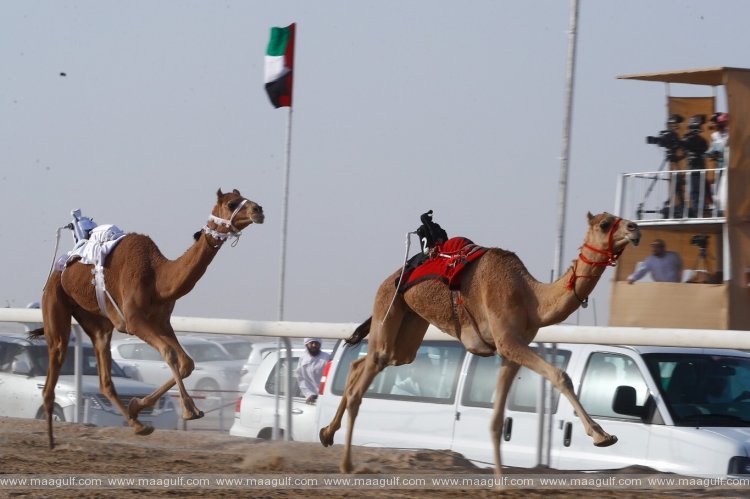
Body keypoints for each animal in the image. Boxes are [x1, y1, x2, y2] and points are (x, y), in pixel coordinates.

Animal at [29, 188, 264, 449]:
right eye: (232, 203)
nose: (258, 210)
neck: (158, 277)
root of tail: (61, 266)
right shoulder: (134, 321)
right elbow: (170, 354)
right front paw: (189, 410)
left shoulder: (161, 321)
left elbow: (187, 363)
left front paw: (137, 405)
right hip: (55, 302)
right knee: (54, 366)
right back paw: (51, 441)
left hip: (97, 321)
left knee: (104, 376)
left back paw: (137, 424)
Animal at [319, 212, 641, 475]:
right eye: (605, 223)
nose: (635, 228)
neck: (531, 297)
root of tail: (395, 275)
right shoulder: (508, 341)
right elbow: (560, 375)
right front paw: (602, 435)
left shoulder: (511, 350)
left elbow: (497, 419)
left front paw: (500, 480)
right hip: (388, 303)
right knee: (367, 374)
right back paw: (346, 464)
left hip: (409, 331)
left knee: (367, 362)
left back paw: (326, 433)